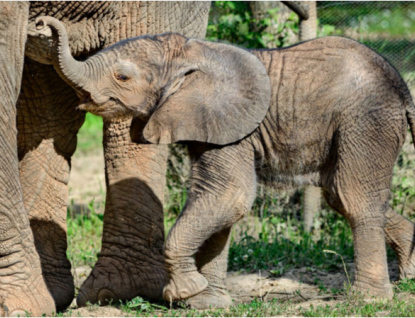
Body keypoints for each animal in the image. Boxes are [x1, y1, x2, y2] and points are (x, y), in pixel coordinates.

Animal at [39, 16, 415, 310]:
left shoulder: (231, 127)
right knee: (339, 193)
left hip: (366, 119)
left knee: (354, 198)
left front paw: (185, 293)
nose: (42, 23)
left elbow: (227, 195)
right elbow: (218, 200)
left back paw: (368, 300)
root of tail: (403, 88)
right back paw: (408, 274)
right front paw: (210, 303)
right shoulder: (208, 125)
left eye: (123, 77)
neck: (193, 53)